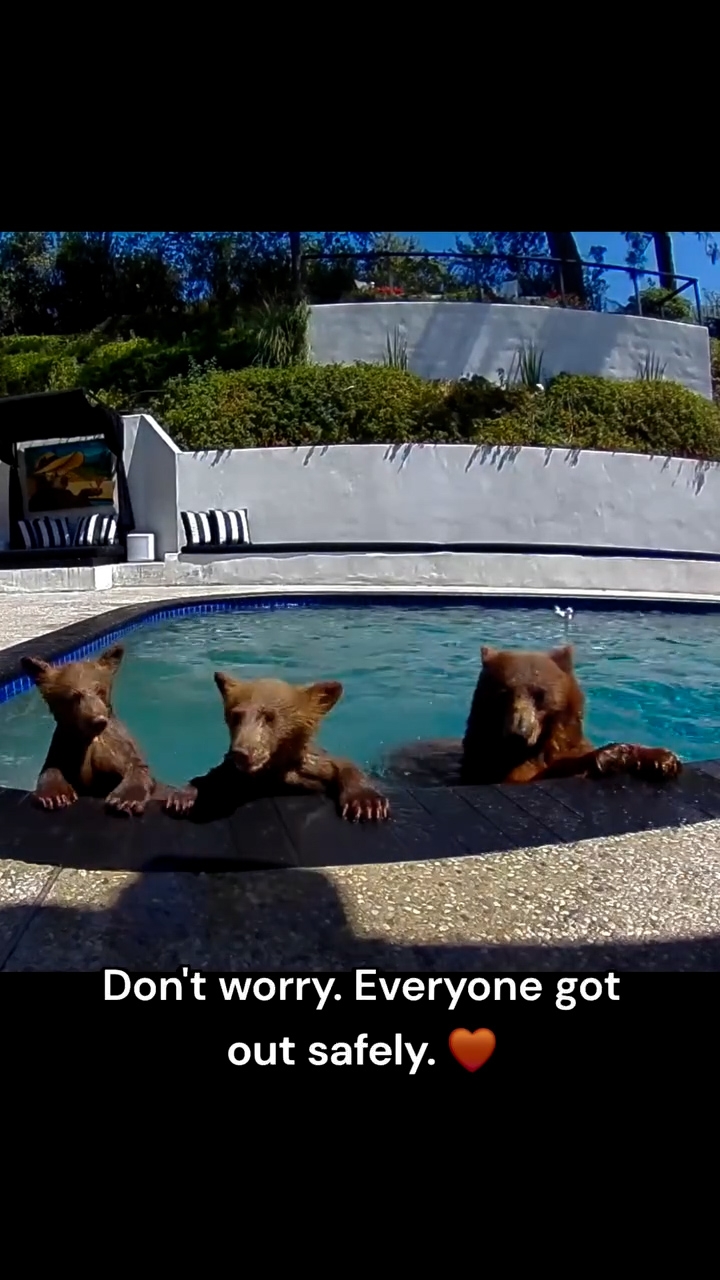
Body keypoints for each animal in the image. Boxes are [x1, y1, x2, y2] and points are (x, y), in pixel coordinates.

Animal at [21, 644, 181, 816]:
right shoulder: (65, 745)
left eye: (99, 689)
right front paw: (56, 796)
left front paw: (124, 800)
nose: (98, 720)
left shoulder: (118, 745)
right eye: (74, 696)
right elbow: (51, 767)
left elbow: (136, 767)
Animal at [164, 671, 390, 822]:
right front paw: (182, 797)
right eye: (235, 716)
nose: (241, 753)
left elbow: (340, 764)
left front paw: (366, 803)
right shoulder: (238, 773)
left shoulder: (309, 766)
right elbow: (215, 775)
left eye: (269, 716)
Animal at [384, 643, 681, 787]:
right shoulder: (487, 763)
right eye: (503, 693)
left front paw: (660, 758)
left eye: (540, 694)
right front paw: (609, 755)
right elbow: (525, 777)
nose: (519, 732)